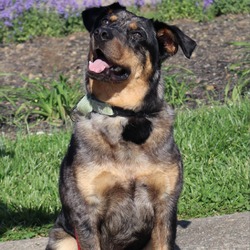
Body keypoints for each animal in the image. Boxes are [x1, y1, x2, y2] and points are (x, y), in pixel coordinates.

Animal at [46, 2, 196, 250]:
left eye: (137, 34)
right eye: (106, 21)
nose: (101, 33)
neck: (122, 115)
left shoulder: (165, 204)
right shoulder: (86, 211)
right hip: (63, 239)